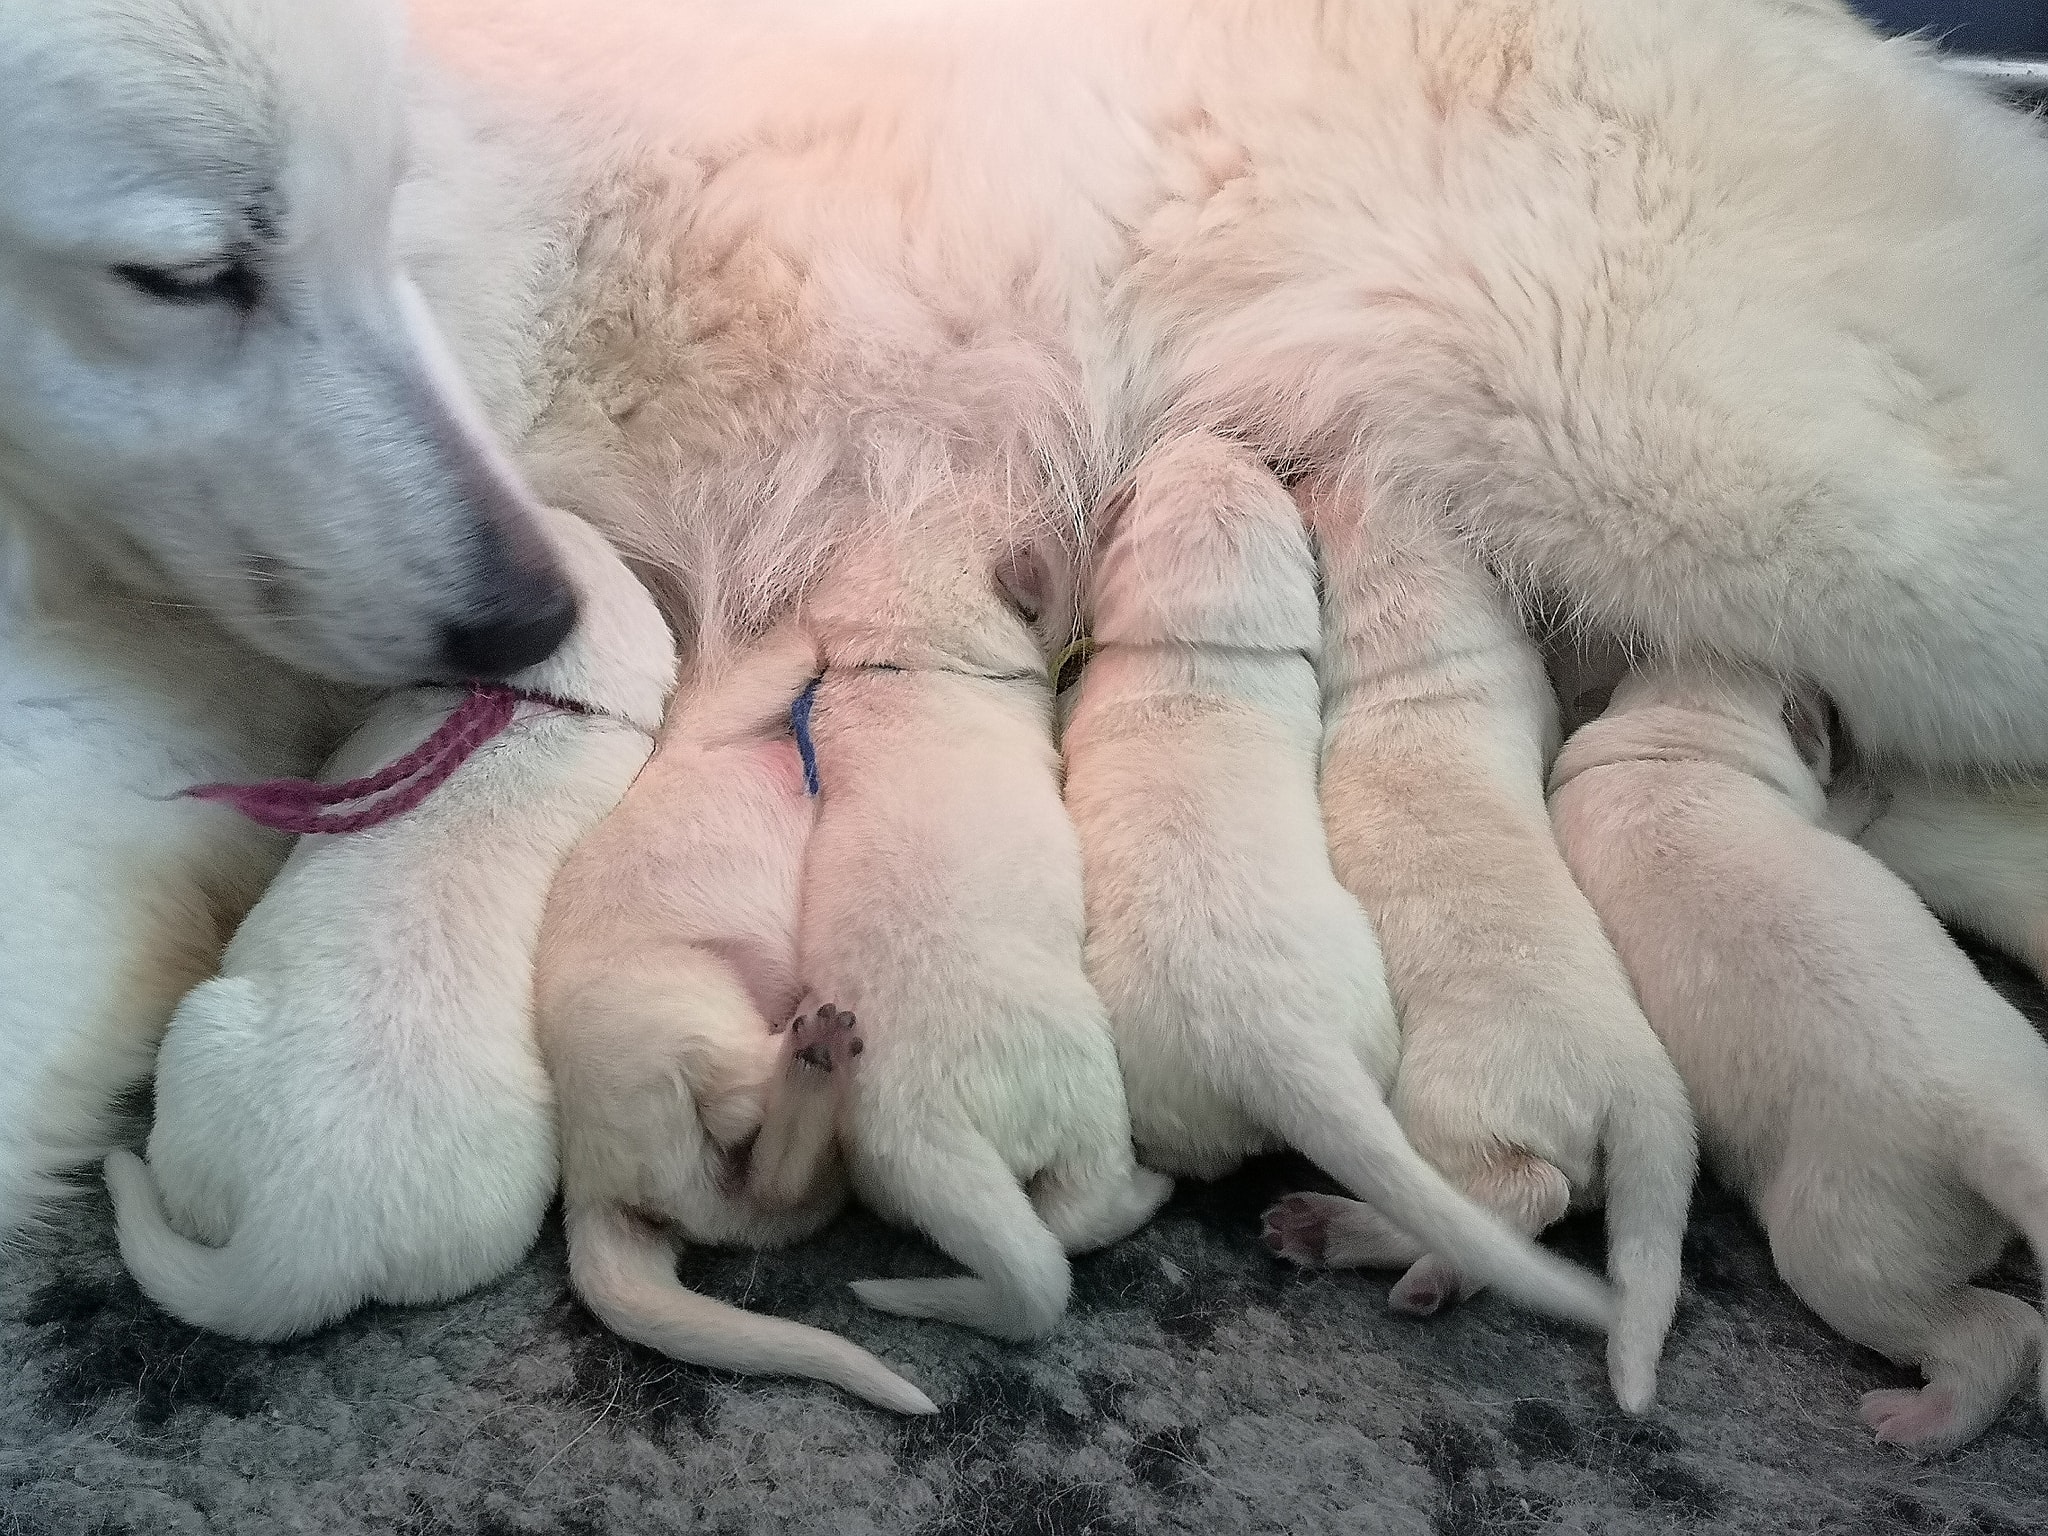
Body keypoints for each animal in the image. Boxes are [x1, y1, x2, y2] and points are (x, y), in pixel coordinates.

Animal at [535, 621, 937, 1414]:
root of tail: (593, 1185)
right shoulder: (721, 711)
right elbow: (781, 658)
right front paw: (816, 626)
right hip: (682, 1009)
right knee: (737, 1101)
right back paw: (815, 1047)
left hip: (733, 1184)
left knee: (773, 1184)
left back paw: (815, 1067)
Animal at [1270, 471, 1694, 1412]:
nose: (1299, 471)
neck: (1435, 630)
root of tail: (1639, 1085)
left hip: (1451, 1099)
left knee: (1512, 1196)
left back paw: (1342, 1234)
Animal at [1551, 662, 2048, 1452]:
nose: (1833, 704)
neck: (1679, 747)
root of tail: (1991, 1126)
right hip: (1848, 1249)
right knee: (1991, 1333)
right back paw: (1920, 1418)